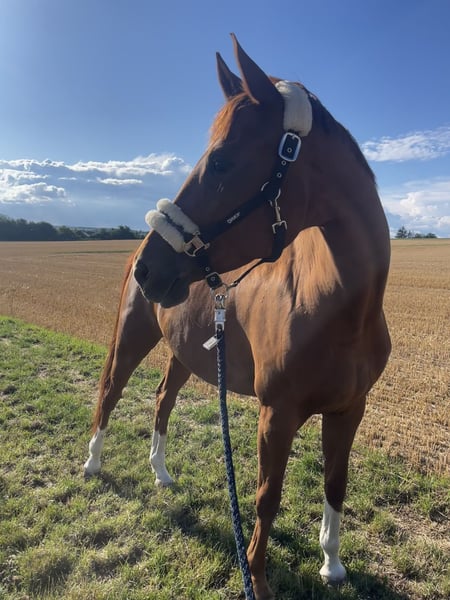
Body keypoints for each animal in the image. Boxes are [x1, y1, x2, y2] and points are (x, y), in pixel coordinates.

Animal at [85, 34, 391, 599]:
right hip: (132, 336)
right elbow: (267, 498)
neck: (337, 309)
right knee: (111, 390)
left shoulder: (349, 410)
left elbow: (335, 484)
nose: (148, 269)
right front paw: (259, 579)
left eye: (223, 161)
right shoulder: (277, 414)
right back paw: (93, 463)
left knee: (162, 400)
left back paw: (161, 474)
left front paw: (332, 564)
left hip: (184, 353)